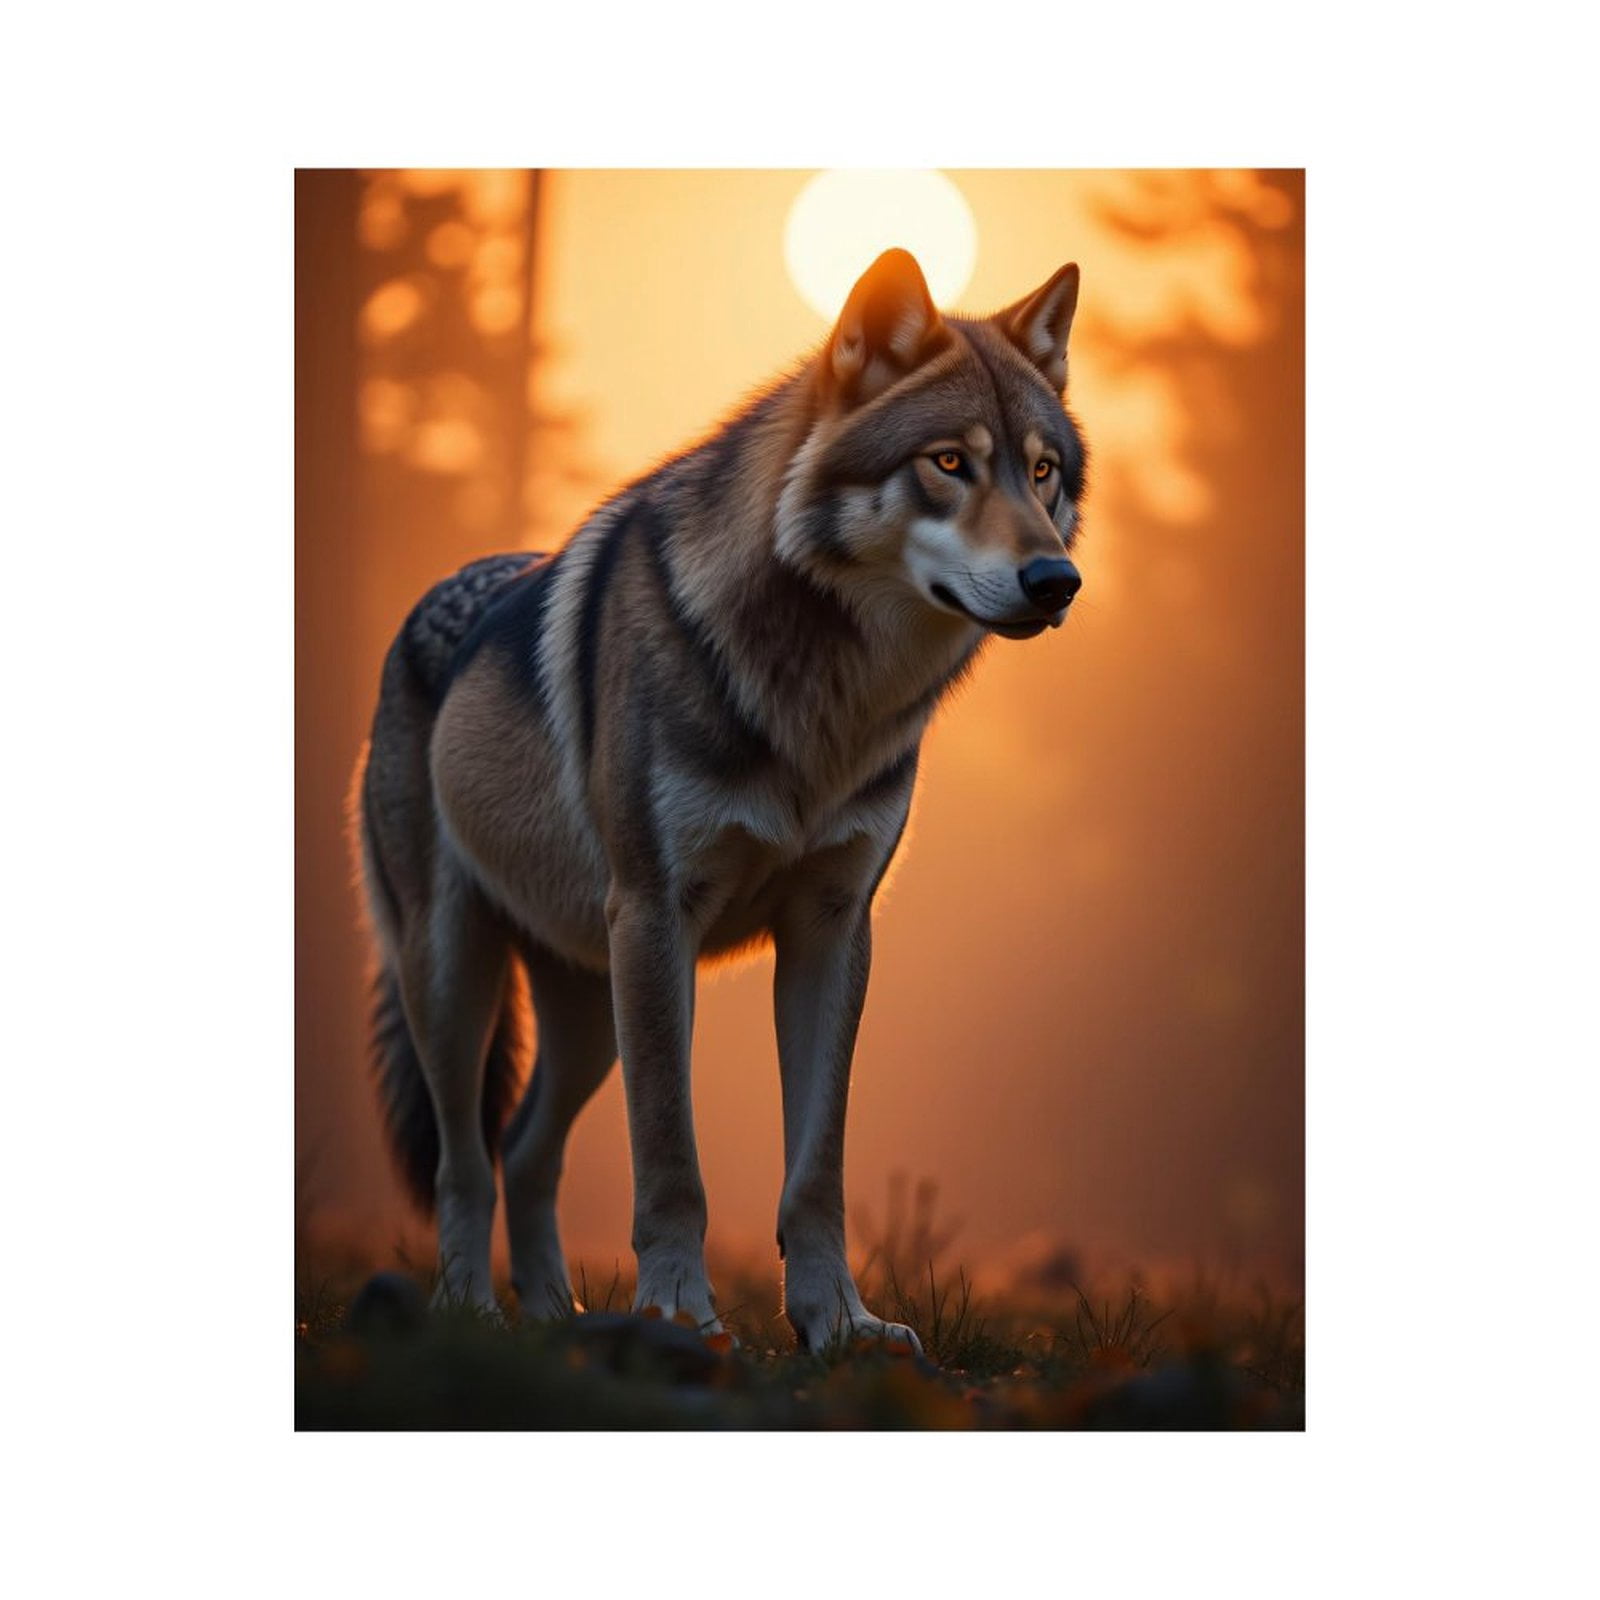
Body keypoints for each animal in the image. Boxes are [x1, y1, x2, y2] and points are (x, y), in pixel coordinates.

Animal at [352, 247, 1086, 1352]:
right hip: (463, 976)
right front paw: (675, 1312)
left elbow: (815, 1172)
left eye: (1042, 472)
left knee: (525, 1151)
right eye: (950, 463)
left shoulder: (833, 926)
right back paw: (471, 1315)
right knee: (464, 1163)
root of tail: (431, 598)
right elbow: (671, 1160)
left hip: (590, 1002)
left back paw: (554, 1318)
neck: (820, 697)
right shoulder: (659, 917)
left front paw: (839, 1325)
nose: (1056, 579)